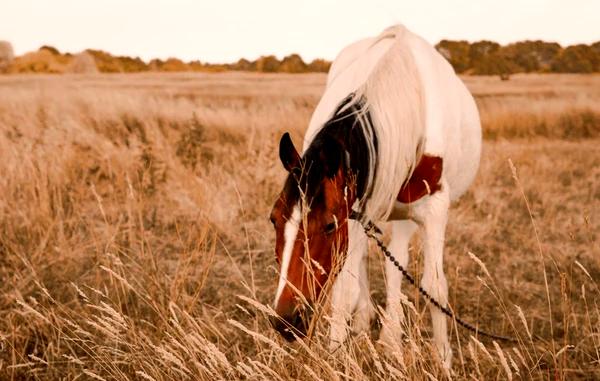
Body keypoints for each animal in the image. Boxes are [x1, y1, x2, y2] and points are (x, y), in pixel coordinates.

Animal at [270, 24, 480, 368]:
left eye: (328, 225)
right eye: (274, 219)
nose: (286, 320)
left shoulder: (436, 209)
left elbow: (435, 286)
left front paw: (443, 359)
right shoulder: (354, 210)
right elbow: (345, 290)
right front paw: (336, 354)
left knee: (397, 261)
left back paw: (391, 339)